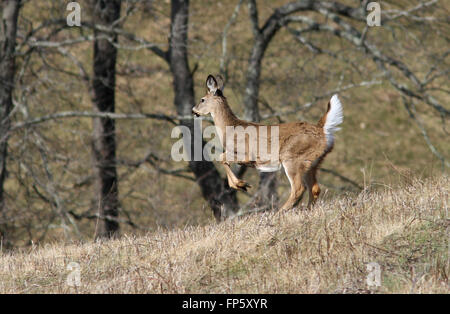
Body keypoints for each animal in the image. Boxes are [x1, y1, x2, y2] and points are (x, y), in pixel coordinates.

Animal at [192, 74, 342, 211]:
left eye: (202, 99)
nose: (194, 110)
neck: (230, 128)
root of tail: (322, 130)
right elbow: (223, 159)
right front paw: (241, 185)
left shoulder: (245, 154)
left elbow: (221, 157)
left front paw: (241, 184)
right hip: (312, 163)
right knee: (315, 188)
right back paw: (306, 209)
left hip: (292, 157)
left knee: (299, 188)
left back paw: (280, 212)